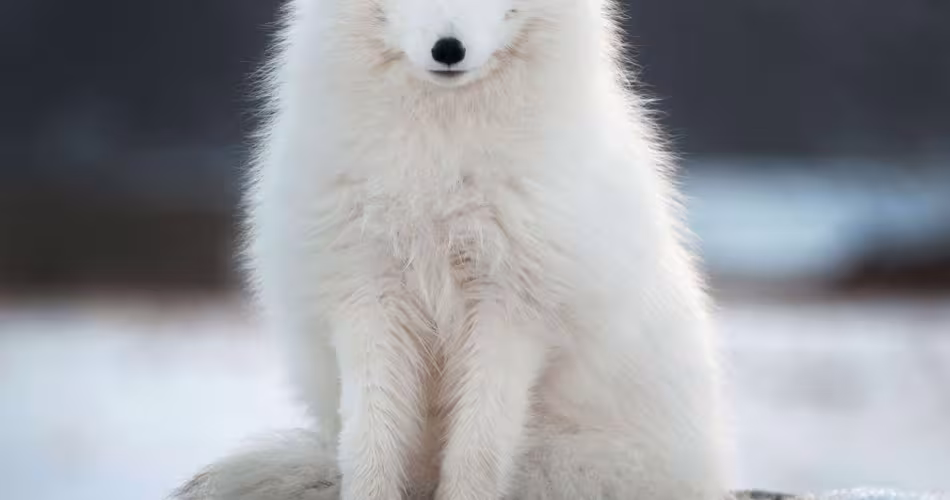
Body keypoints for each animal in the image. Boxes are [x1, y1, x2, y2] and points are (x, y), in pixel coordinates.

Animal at [176, 0, 731, 498]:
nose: (449, 49)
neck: (436, 164)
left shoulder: (512, 310)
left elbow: (476, 453)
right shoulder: (367, 295)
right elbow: (370, 445)